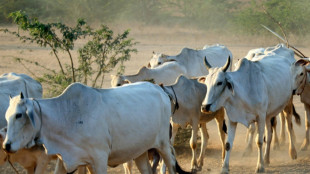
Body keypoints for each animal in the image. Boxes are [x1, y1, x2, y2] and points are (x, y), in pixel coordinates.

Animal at [2, 82, 189, 173]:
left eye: (19, 115)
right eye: (6, 116)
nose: (6, 145)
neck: (66, 116)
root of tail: (161, 90)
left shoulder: (100, 159)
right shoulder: (66, 160)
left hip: (163, 145)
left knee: (171, 166)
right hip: (140, 151)